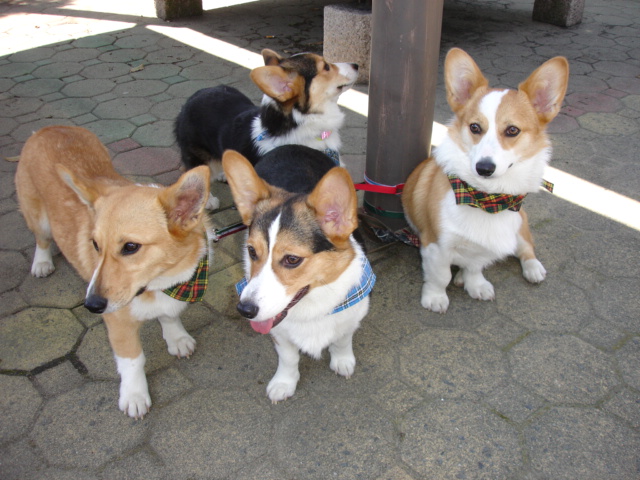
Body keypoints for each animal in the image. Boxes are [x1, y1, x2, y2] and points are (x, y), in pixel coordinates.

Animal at [15, 126, 212, 418]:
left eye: (130, 247)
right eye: (95, 245)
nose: (91, 305)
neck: (159, 283)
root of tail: (47, 128)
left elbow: (169, 316)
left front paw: (176, 338)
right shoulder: (118, 322)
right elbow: (133, 360)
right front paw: (134, 395)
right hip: (38, 217)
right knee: (41, 238)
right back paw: (41, 262)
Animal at [222, 145, 375, 403]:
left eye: (292, 259)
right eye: (252, 251)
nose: (245, 310)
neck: (311, 304)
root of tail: (292, 145)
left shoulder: (351, 317)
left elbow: (342, 340)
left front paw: (342, 361)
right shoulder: (279, 334)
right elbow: (288, 358)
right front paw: (284, 383)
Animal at [402, 48, 569, 313]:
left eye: (512, 130)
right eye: (474, 127)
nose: (484, 168)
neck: (486, 198)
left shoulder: (486, 245)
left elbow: (475, 266)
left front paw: (475, 284)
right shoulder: (434, 243)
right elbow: (440, 276)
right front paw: (436, 297)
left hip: (519, 226)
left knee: (526, 249)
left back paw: (533, 269)